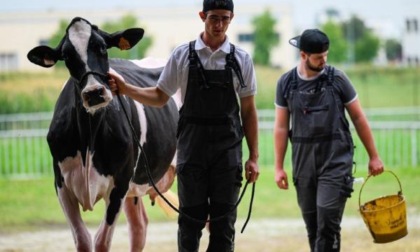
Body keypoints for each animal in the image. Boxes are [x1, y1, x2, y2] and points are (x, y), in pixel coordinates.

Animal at [26, 16, 177, 251]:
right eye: (66, 56)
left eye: (103, 47)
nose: (94, 92)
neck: (88, 140)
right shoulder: (61, 184)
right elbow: (82, 239)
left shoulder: (119, 184)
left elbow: (101, 241)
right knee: (139, 226)